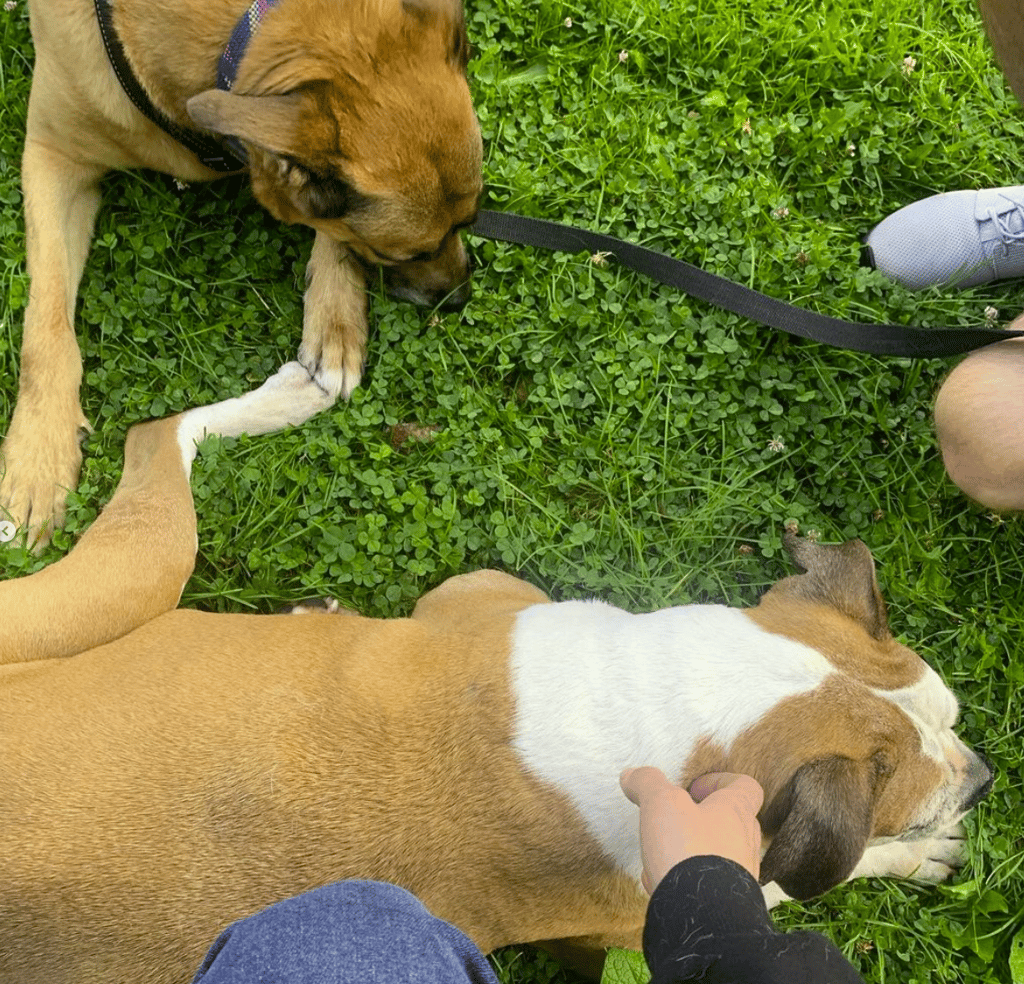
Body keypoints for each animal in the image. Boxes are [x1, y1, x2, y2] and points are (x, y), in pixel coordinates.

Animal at [0, 364, 991, 978]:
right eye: (924, 802)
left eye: (952, 712)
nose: (982, 779)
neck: (649, 697)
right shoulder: (631, 931)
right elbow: (804, 879)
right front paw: (911, 854)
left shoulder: (467, 596)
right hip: (135, 570)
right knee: (158, 432)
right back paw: (289, 395)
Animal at [1, 0, 483, 544]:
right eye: (406, 255)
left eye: (471, 219)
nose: (460, 299)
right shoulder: (52, 154)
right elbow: (47, 319)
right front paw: (39, 451)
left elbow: (326, 226)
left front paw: (335, 323)